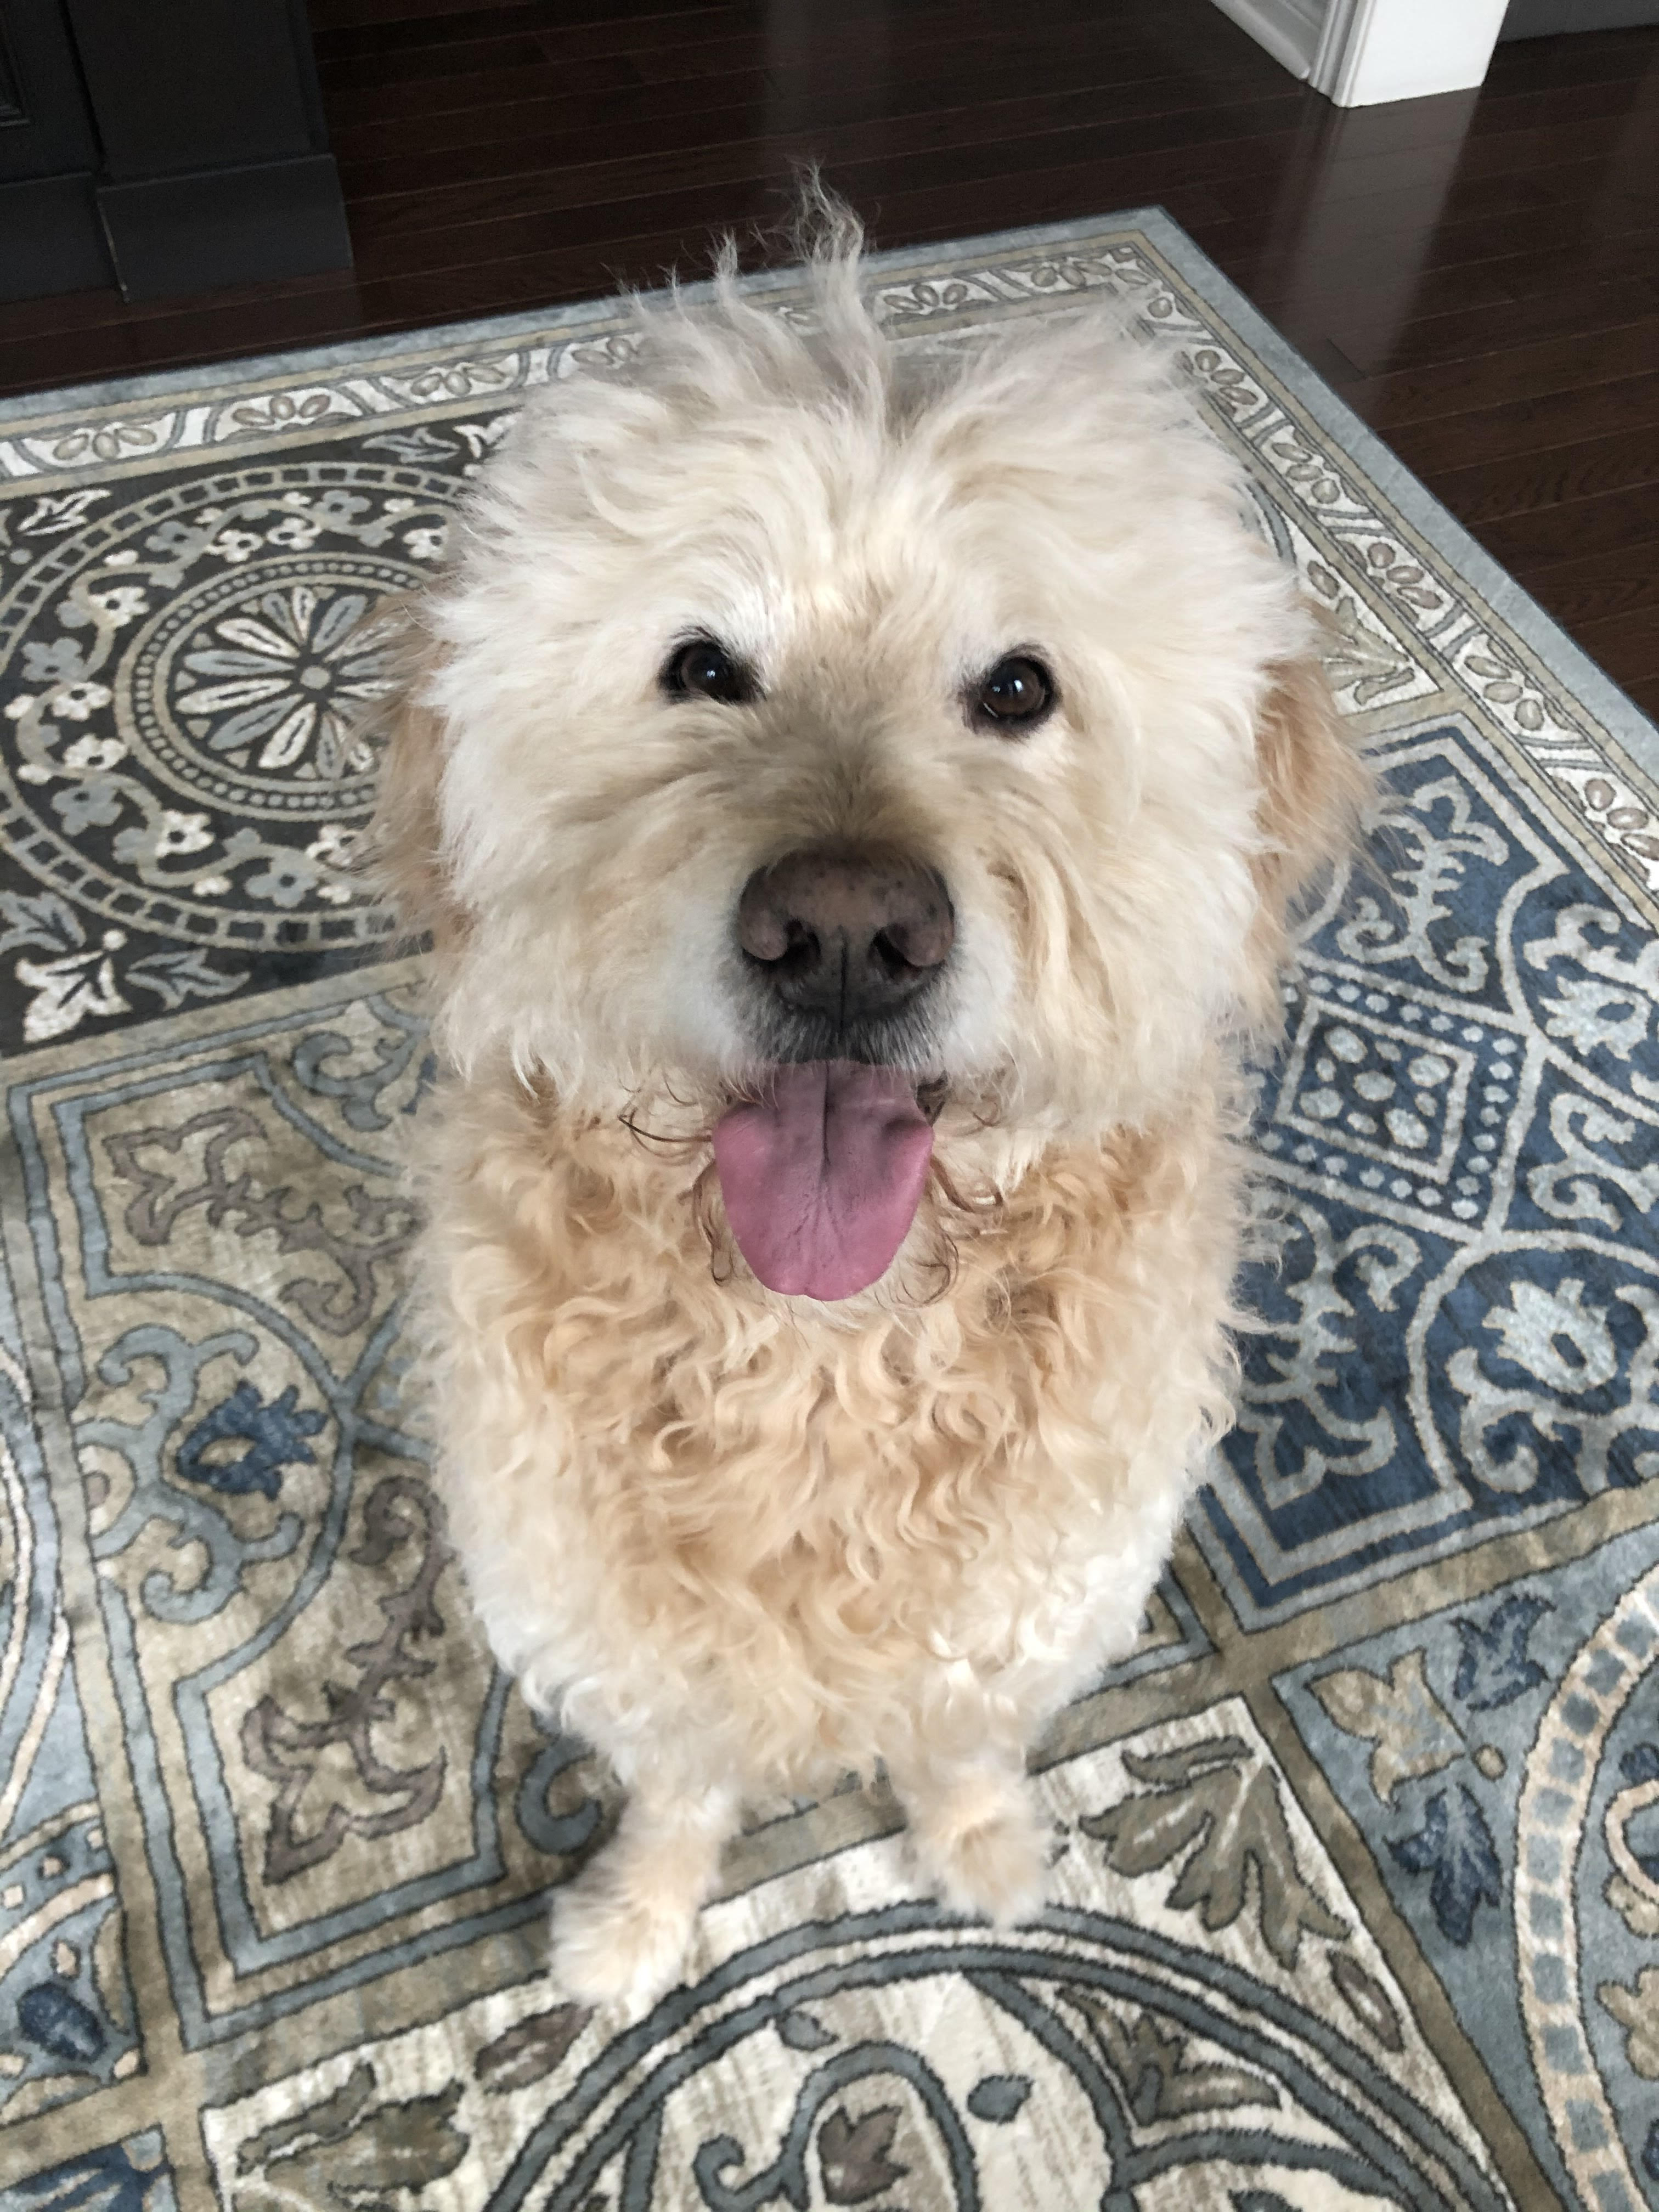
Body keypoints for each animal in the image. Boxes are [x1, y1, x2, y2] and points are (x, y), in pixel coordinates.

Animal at [365, 202, 1362, 2013]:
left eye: (1021, 689)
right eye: (702, 668)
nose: (842, 935)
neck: (828, 1351)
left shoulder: (1025, 1612)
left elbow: (959, 1748)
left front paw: (980, 1853)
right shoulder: (620, 1635)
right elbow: (680, 1786)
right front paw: (634, 1925)